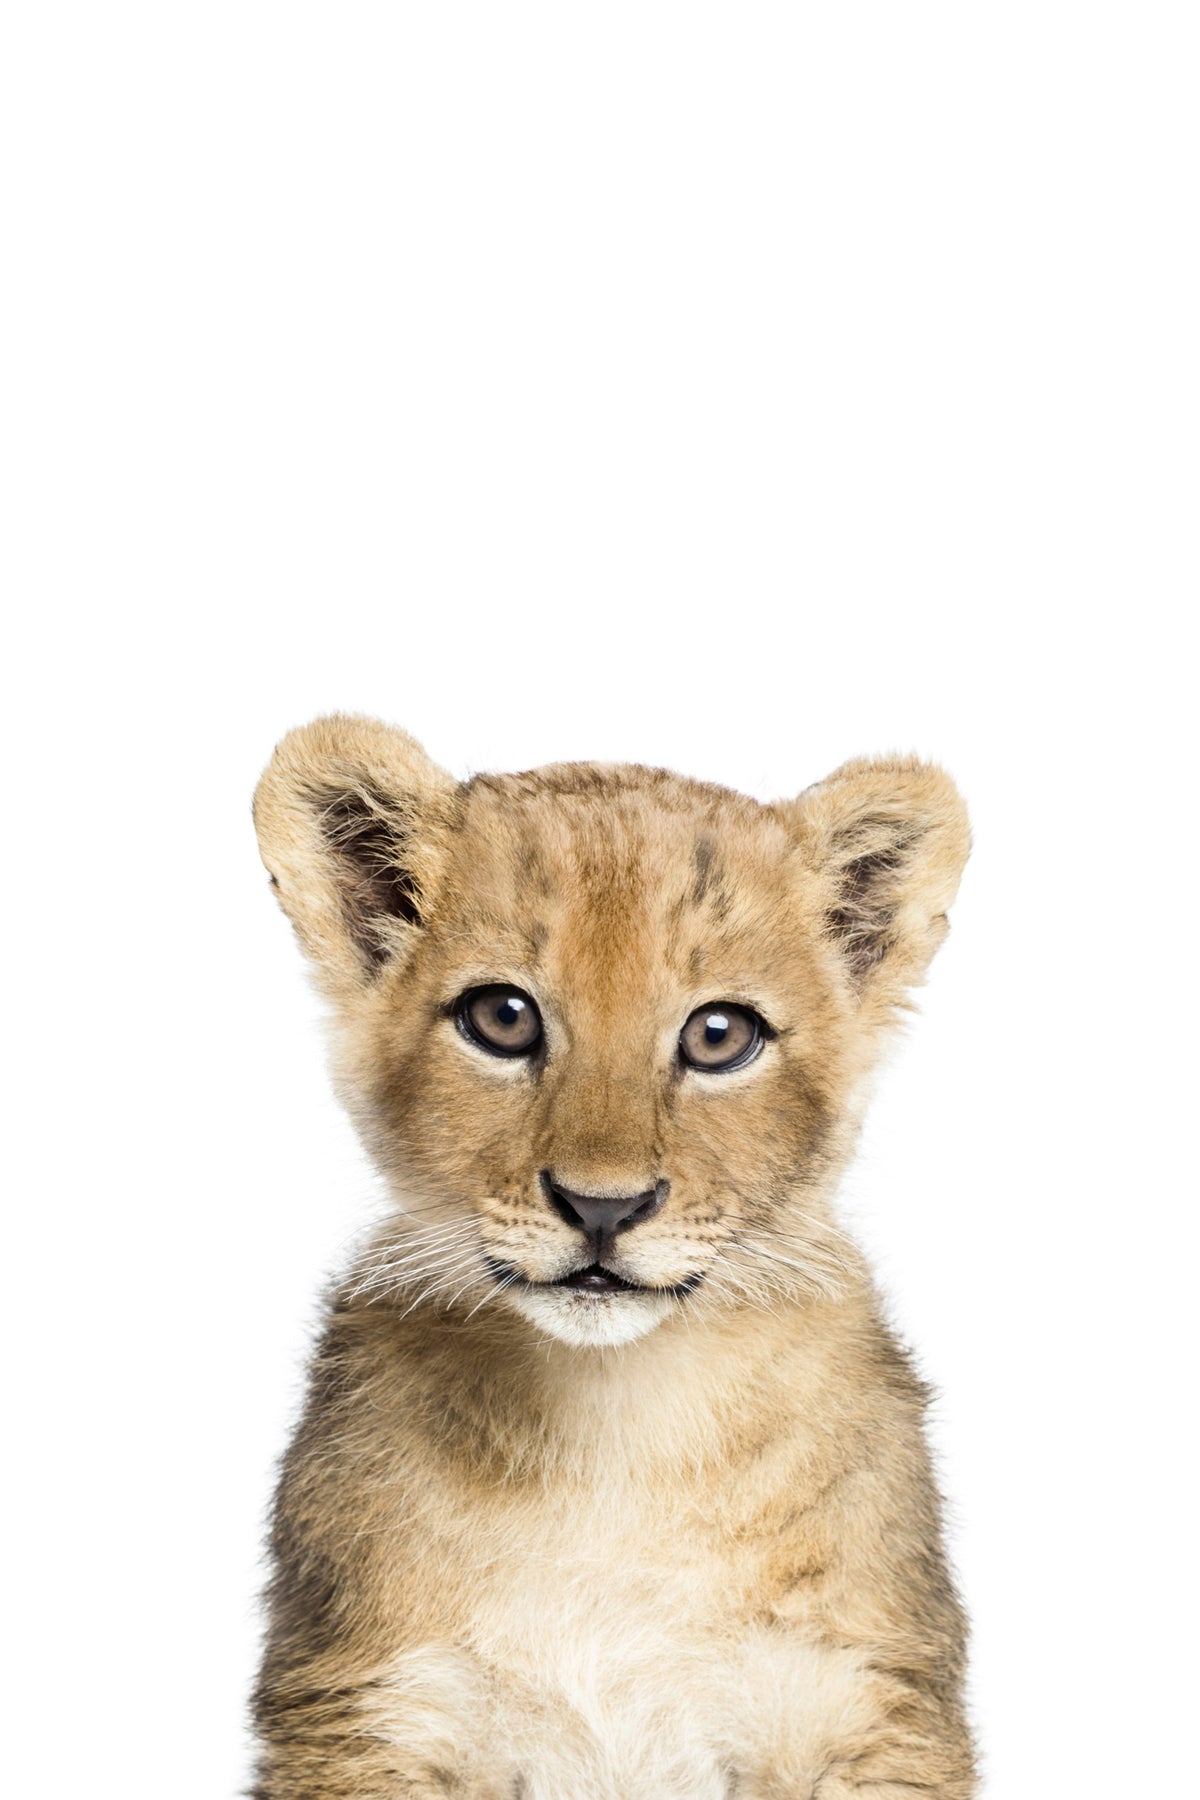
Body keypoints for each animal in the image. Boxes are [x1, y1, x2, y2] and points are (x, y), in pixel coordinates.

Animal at [249, 713, 976, 1799]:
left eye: (719, 1035)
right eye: (502, 1018)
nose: (603, 1207)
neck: (614, 1429)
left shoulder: (863, 1702)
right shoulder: (370, 1709)